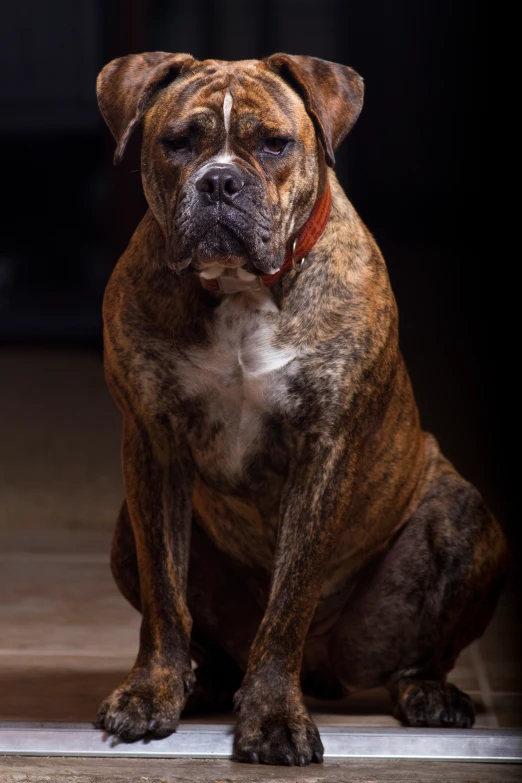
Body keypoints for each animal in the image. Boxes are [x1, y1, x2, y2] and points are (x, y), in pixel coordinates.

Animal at [95, 53, 506, 764]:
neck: (240, 290)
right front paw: (152, 693)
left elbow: (289, 600)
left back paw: (429, 693)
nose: (220, 182)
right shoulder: (152, 443)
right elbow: (165, 594)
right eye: (178, 143)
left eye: (273, 144)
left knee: (422, 654)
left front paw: (272, 717)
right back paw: (201, 683)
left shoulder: (325, 451)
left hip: (468, 522)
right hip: (126, 531)